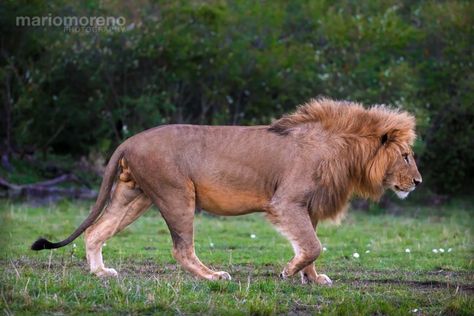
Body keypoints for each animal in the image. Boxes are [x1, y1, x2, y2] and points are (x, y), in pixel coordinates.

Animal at [30, 97, 422, 284]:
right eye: (405, 156)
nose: (418, 182)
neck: (344, 153)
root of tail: (129, 139)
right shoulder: (286, 201)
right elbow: (312, 245)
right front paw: (289, 272)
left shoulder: (306, 207)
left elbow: (310, 247)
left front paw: (311, 279)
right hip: (176, 194)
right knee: (181, 249)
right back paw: (213, 276)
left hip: (134, 196)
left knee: (96, 231)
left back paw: (100, 273)